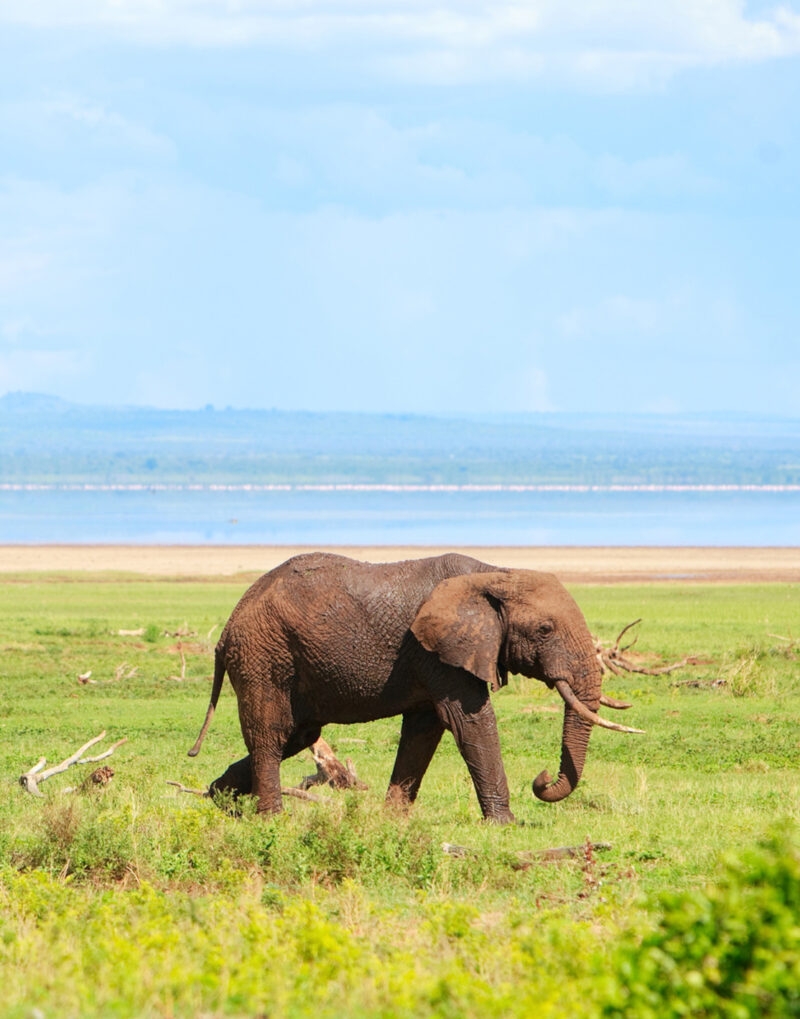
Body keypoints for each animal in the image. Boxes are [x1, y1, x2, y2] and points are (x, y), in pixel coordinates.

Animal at [189, 552, 640, 823]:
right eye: (545, 630)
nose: (542, 778)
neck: (496, 572)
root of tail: (226, 630)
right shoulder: (442, 653)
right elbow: (470, 721)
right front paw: (505, 824)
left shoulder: (434, 658)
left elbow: (424, 729)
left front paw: (392, 819)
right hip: (264, 654)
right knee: (271, 733)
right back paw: (271, 818)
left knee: (296, 734)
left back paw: (219, 799)